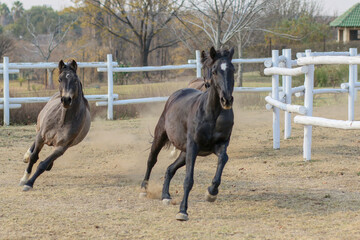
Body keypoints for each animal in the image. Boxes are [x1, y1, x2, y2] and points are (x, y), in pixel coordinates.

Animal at [19, 59, 91, 191]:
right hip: (39, 130)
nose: (66, 100)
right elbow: (34, 157)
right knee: (34, 145)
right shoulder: (41, 137)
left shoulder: (61, 147)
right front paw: (24, 179)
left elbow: (43, 164)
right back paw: (26, 155)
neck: (62, 121)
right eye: (59, 79)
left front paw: (29, 183)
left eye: (75, 80)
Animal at [139, 47, 235, 221]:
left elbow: (223, 158)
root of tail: (178, 92)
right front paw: (183, 211)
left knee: (170, 169)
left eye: (233, 69)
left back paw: (165, 196)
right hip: (161, 136)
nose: (226, 100)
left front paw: (211, 192)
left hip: (184, 152)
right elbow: (188, 180)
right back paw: (144, 189)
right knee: (151, 160)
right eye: (214, 70)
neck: (211, 113)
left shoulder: (219, 145)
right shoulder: (193, 146)